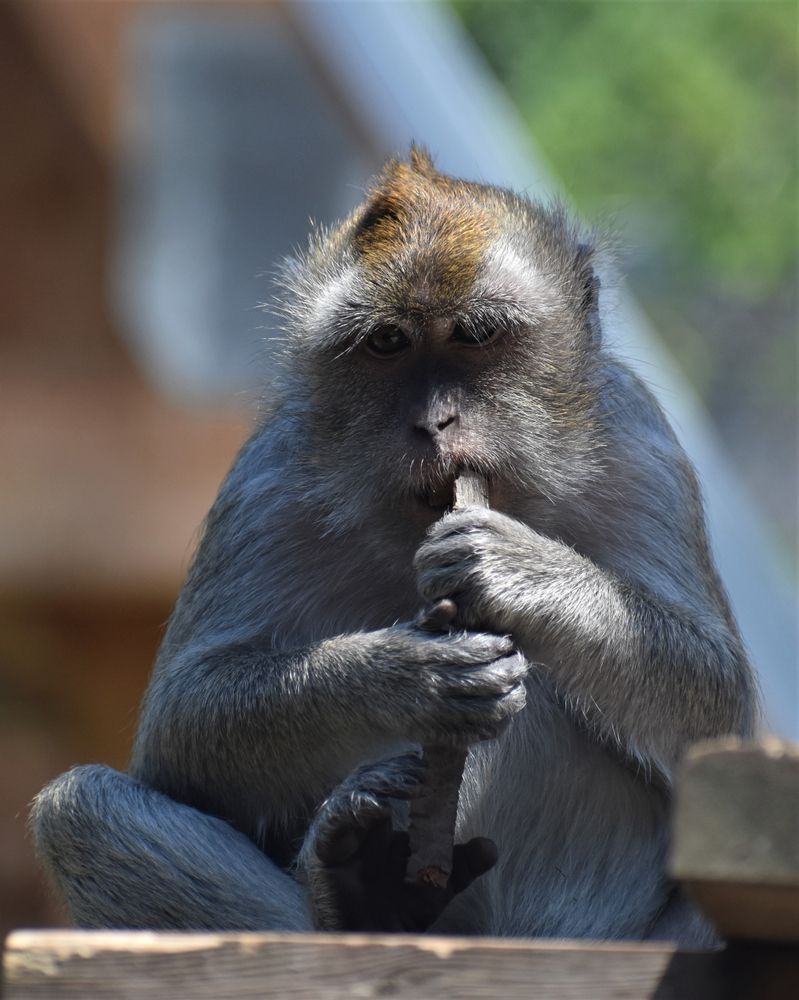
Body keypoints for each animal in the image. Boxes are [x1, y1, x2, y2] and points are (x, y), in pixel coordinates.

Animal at [32, 148, 757, 942]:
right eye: (386, 343)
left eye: (476, 334)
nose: (433, 422)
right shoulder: (269, 481)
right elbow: (180, 731)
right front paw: (406, 676)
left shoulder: (640, 446)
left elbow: (716, 712)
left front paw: (516, 571)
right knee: (83, 811)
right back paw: (362, 893)